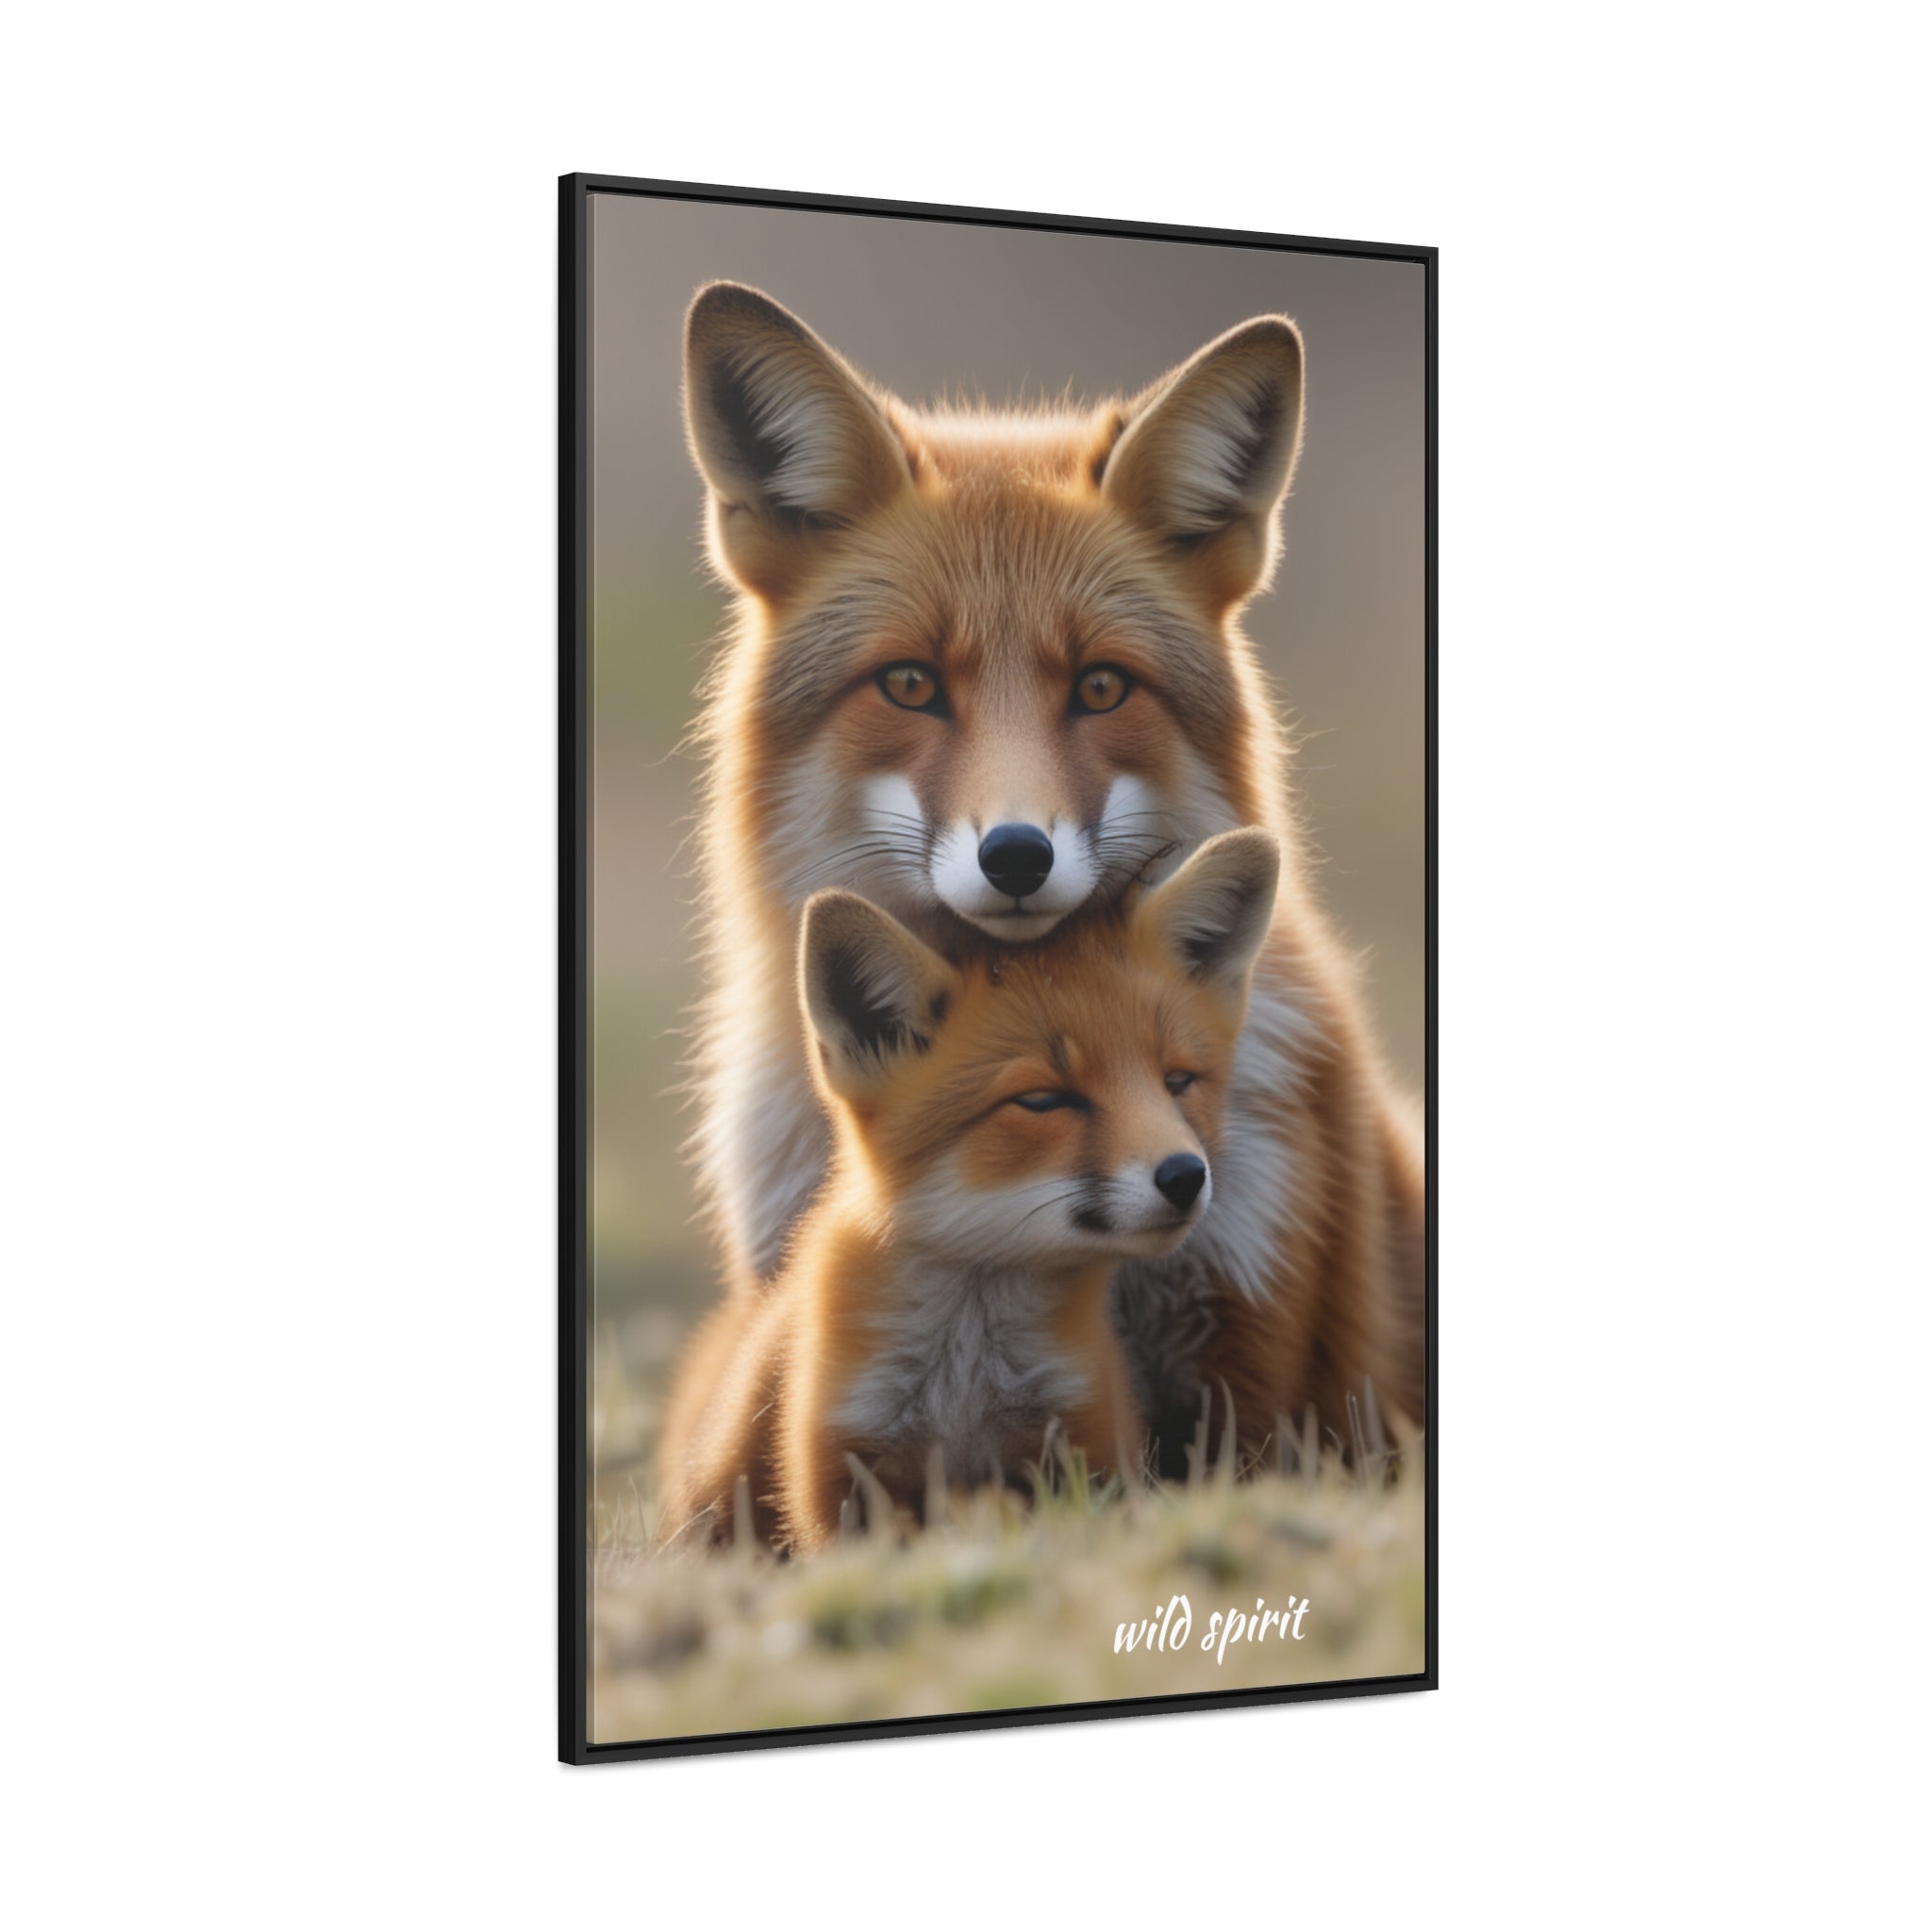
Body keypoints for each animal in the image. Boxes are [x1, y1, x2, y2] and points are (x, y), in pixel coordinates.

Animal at [658, 831, 1281, 1551]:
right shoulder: (839, 1476)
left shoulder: (1086, 1445)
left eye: (1178, 1082)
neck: (966, 1382)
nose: (1185, 1175)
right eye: (1042, 1100)